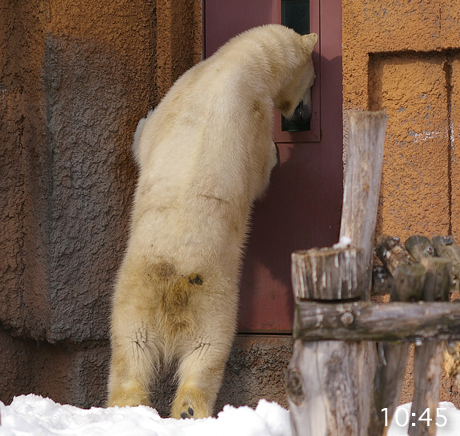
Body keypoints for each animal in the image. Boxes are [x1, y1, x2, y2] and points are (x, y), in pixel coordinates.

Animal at [107, 24, 316, 418]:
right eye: (311, 80)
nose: (303, 115)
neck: (234, 62)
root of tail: (172, 285)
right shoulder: (249, 113)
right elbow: (260, 169)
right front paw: (276, 154)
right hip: (203, 301)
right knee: (196, 355)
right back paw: (185, 410)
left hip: (141, 300)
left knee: (136, 352)